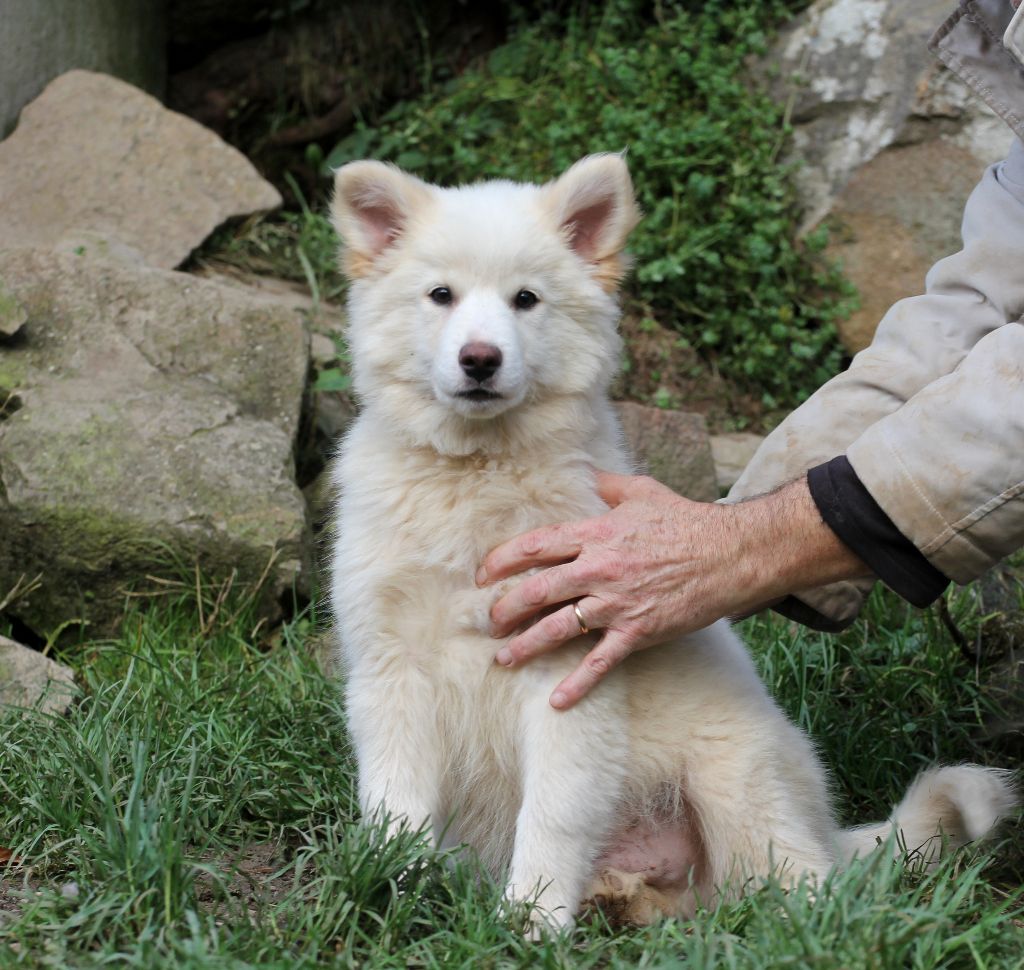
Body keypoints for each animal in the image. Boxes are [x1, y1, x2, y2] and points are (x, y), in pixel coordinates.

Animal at [327, 155, 1015, 930]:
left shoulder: (567, 674)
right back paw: (617, 897)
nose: (480, 360)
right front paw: (390, 889)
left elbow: (552, 814)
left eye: (526, 299)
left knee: (793, 885)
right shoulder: (390, 671)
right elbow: (394, 802)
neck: (477, 473)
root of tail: (827, 831)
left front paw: (530, 923)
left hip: (736, 779)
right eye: (439, 295)